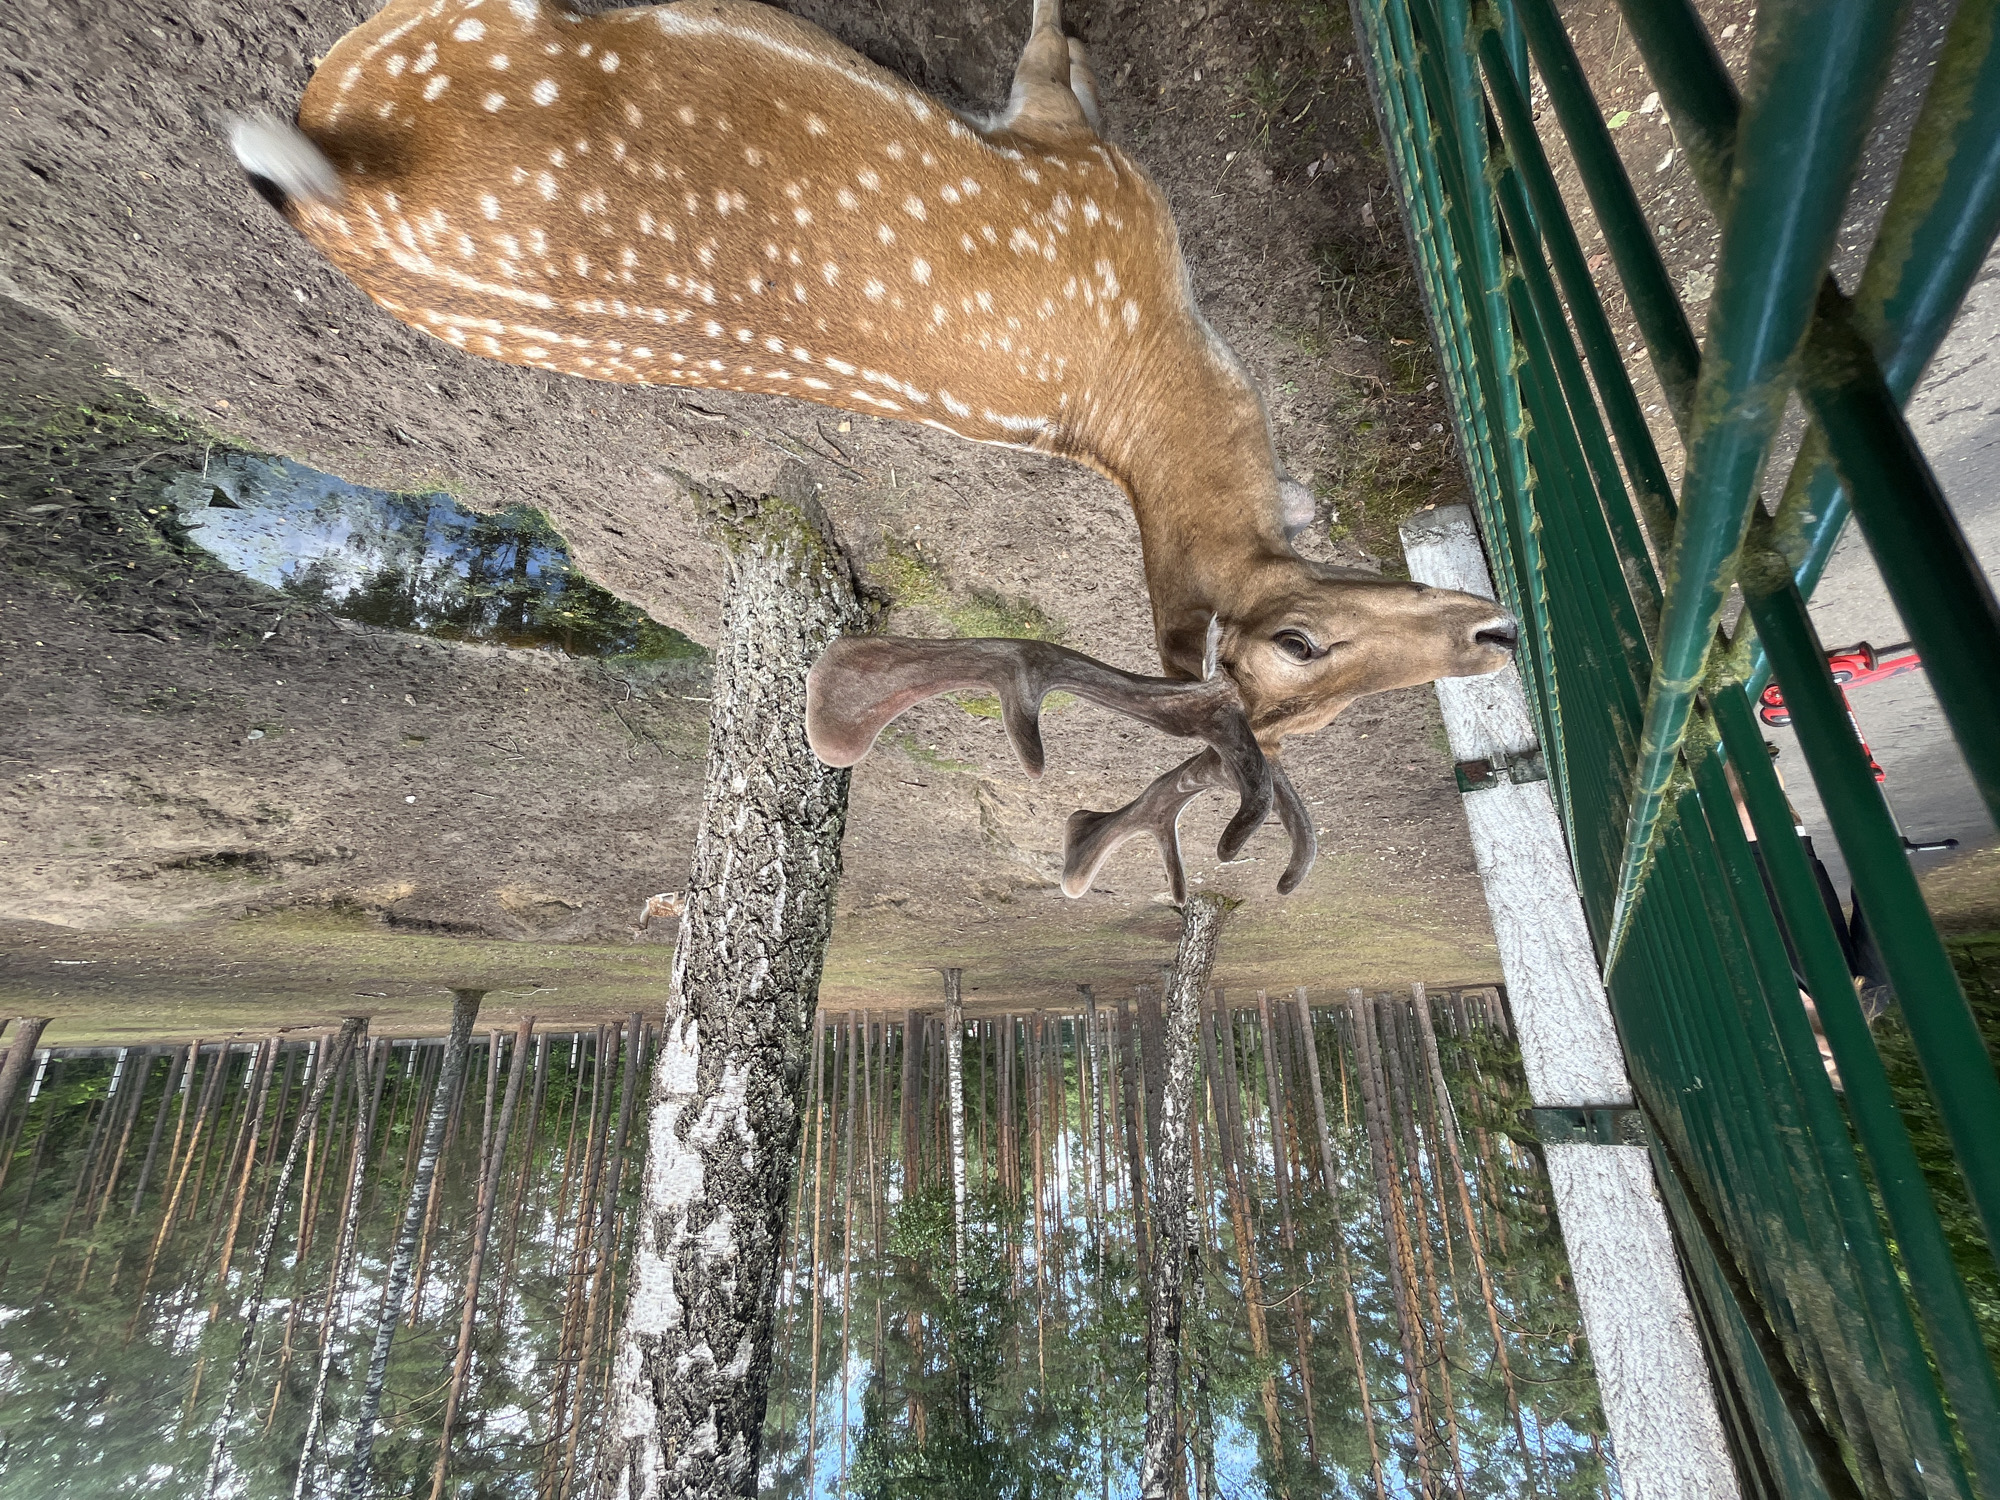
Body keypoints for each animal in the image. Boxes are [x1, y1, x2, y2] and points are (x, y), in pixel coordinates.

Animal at [232, 0, 1519, 901]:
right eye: (1300, 642)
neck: (1162, 350)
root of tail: (347, 172)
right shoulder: (1076, 154)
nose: (1493, 634)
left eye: (1325, 724)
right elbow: (1046, 44)